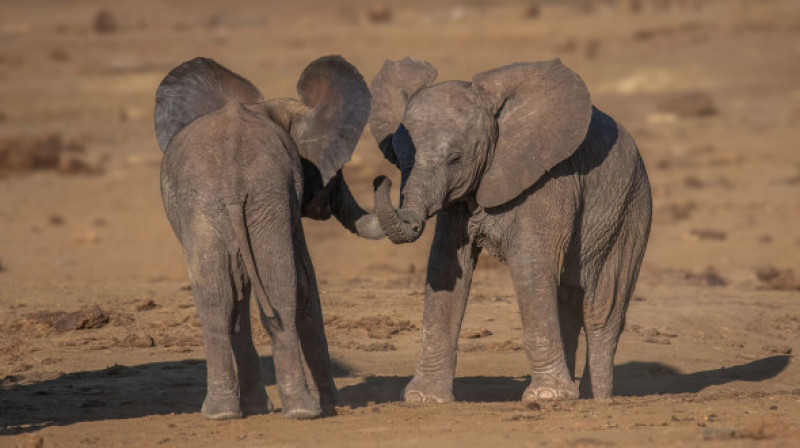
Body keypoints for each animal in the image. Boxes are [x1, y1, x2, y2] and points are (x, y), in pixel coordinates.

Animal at [155, 56, 384, 420]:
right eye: (335, 174)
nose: (380, 179)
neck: (268, 108)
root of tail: (232, 177)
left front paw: (256, 407)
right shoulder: (288, 194)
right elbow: (305, 283)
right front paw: (334, 405)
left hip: (212, 204)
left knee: (216, 297)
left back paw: (222, 413)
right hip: (264, 193)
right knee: (278, 286)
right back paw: (302, 411)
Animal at [368, 57, 648, 404]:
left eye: (455, 159)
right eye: (399, 156)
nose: (380, 181)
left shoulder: (546, 183)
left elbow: (529, 266)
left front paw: (546, 398)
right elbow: (445, 266)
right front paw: (424, 399)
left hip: (628, 210)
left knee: (602, 309)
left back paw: (599, 400)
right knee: (568, 300)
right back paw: (579, 395)